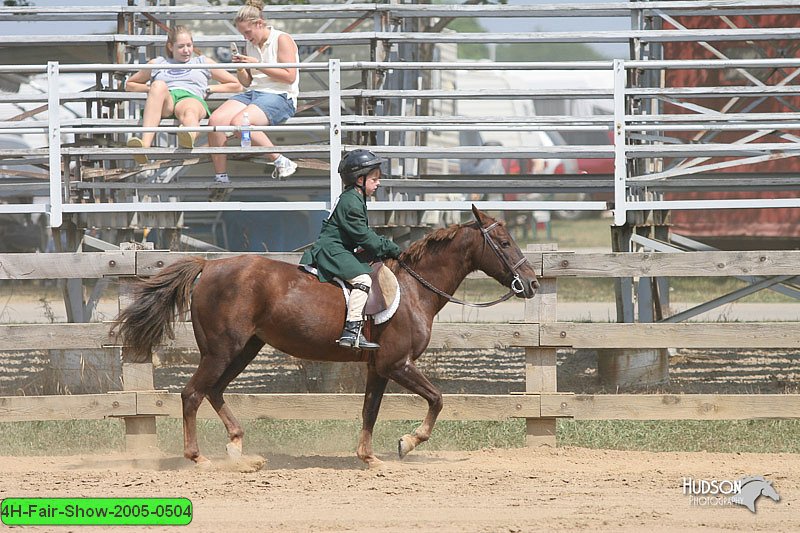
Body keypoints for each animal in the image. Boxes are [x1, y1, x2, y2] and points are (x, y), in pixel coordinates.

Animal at [115, 206, 540, 468]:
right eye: (504, 243)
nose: (532, 283)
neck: (414, 289)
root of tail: (209, 266)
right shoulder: (397, 364)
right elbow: (436, 399)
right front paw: (408, 441)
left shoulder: (379, 368)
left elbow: (370, 410)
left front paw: (369, 457)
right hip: (222, 351)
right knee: (192, 395)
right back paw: (199, 459)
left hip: (243, 350)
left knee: (214, 391)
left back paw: (237, 446)